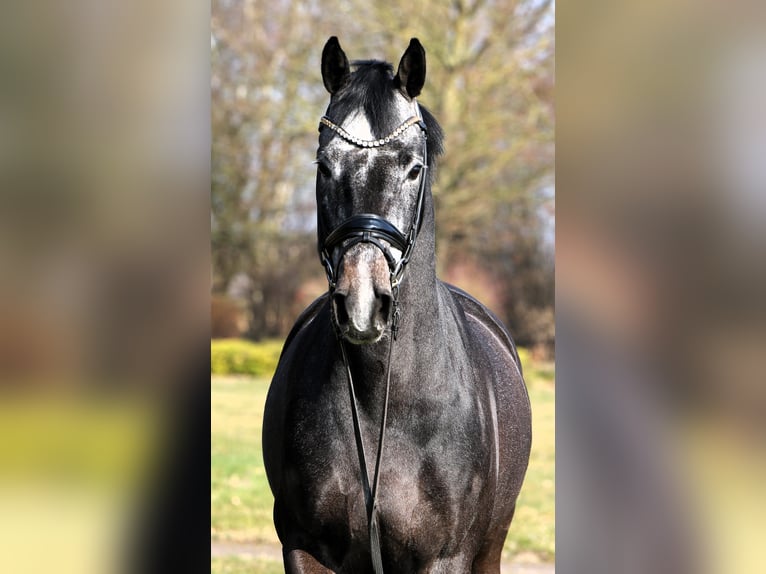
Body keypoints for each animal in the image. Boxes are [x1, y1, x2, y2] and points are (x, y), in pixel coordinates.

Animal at [262, 37, 528, 574]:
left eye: (414, 167)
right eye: (323, 165)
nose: (364, 300)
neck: (379, 396)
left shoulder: (446, 557)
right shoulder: (302, 546)